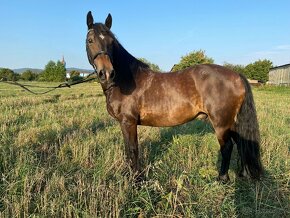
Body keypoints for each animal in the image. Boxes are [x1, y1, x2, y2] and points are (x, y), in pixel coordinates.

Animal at [85, 11, 262, 182]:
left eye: (111, 42)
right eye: (90, 40)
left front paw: (136, 179)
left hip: (221, 123)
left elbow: (133, 150)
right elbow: (129, 150)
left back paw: (222, 178)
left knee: (227, 147)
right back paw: (243, 174)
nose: (106, 73)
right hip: (231, 122)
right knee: (241, 143)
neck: (126, 80)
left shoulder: (128, 122)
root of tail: (237, 75)